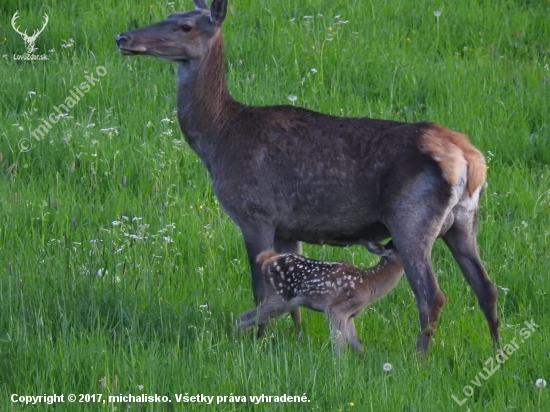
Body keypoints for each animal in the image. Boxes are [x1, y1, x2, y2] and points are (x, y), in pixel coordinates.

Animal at [238, 240, 406, 352]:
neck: (369, 284)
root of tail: (267, 260)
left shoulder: (350, 315)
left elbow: (358, 344)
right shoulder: (336, 309)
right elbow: (340, 347)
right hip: (279, 298)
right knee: (244, 318)